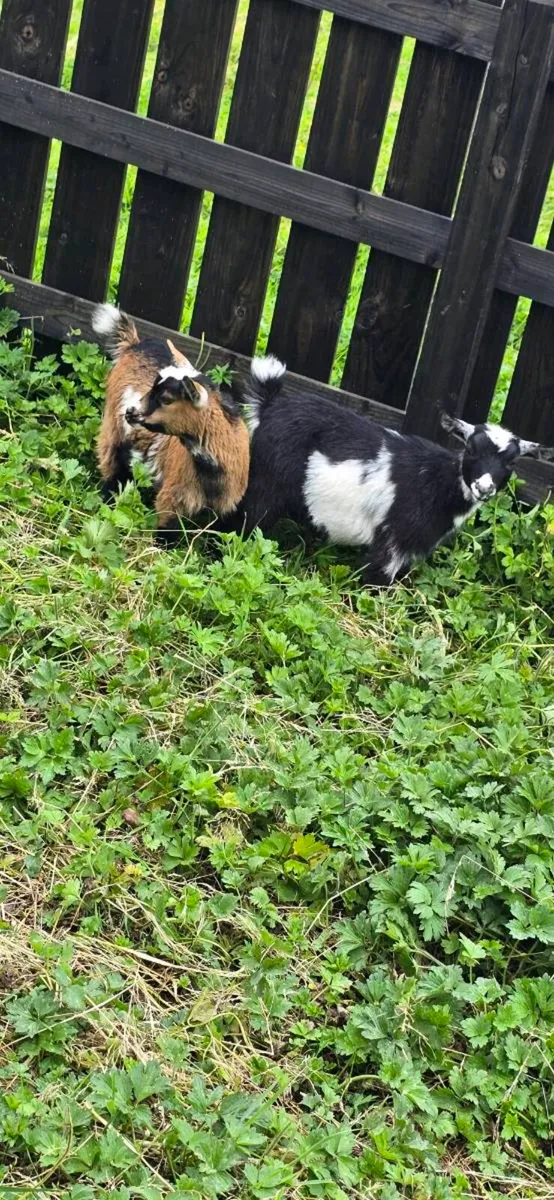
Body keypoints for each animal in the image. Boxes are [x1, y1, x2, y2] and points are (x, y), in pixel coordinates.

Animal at [93, 304, 249, 543]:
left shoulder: (228, 506)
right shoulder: (174, 497)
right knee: (111, 465)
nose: (130, 411)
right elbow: (166, 533)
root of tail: (134, 344)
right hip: (112, 426)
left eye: (166, 399)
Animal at [227, 356, 554, 585]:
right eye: (471, 449)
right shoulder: (395, 539)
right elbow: (377, 581)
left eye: (511, 463)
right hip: (267, 482)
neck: (438, 483)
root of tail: (269, 407)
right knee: (247, 518)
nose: (484, 488)